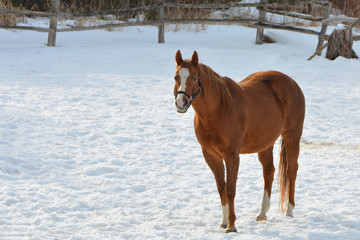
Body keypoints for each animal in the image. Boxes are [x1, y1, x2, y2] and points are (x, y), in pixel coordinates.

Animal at [173, 50, 306, 232]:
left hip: (292, 136)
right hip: (265, 143)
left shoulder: (231, 155)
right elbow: (221, 187)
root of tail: (292, 83)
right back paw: (262, 213)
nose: (181, 103)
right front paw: (224, 222)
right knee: (269, 172)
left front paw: (232, 225)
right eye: (176, 77)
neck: (218, 109)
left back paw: (289, 210)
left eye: (194, 78)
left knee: (291, 170)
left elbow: (230, 189)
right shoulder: (211, 155)